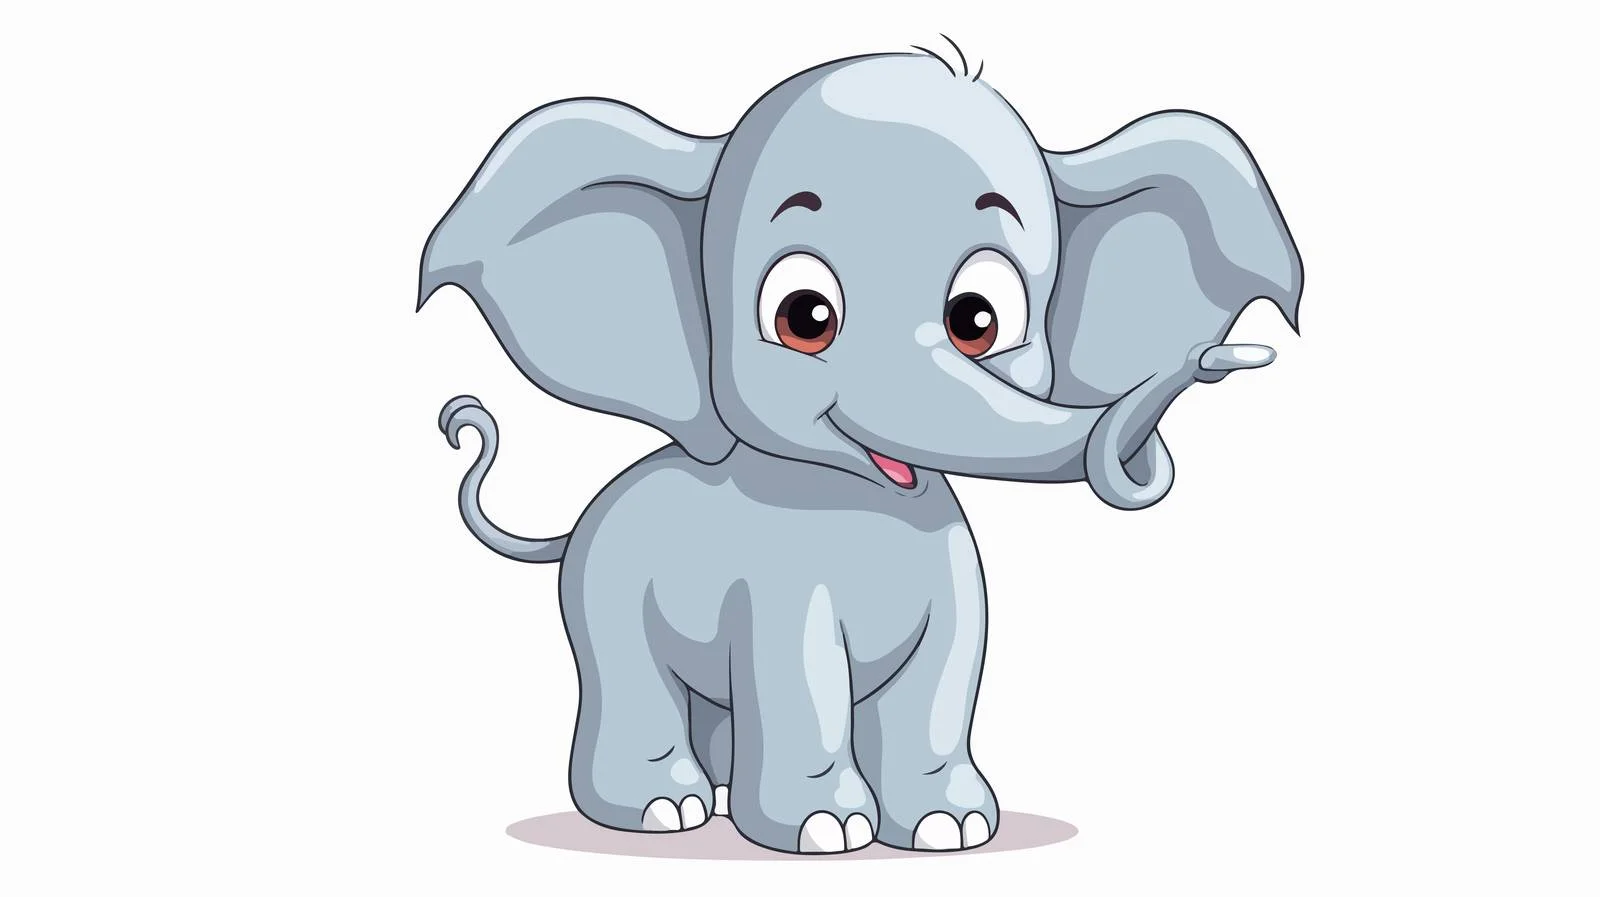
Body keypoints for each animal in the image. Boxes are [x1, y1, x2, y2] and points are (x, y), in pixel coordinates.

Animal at [417, 49, 1301, 854]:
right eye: (805, 316)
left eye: (978, 319)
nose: (1223, 360)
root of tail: (582, 515)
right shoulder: (775, 583)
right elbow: (801, 673)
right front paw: (827, 831)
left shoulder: (952, 567)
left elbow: (946, 671)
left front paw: (953, 828)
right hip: (600, 595)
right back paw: (666, 810)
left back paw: (724, 796)